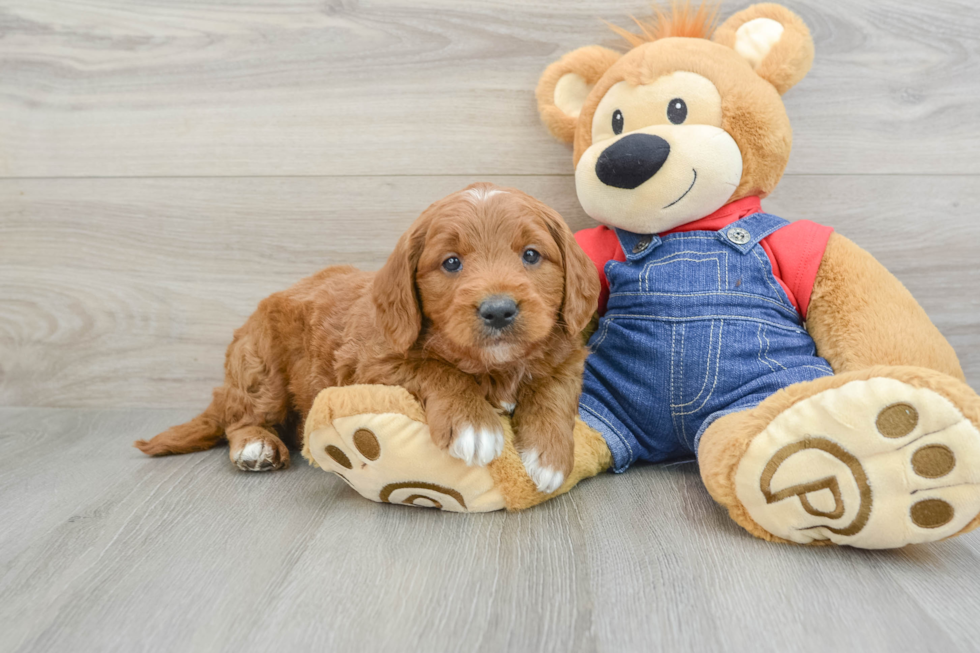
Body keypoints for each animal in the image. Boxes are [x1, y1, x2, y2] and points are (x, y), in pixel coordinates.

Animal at [135, 182, 600, 488]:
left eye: (531, 255)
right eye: (451, 263)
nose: (498, 309)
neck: (493, 365)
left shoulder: (567, 354)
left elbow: (553, 389)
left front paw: (549, 455)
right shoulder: (373, 363)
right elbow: (435, 369)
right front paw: (474, 423)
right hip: (261, 369)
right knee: (239, 416)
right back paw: (255, 446)